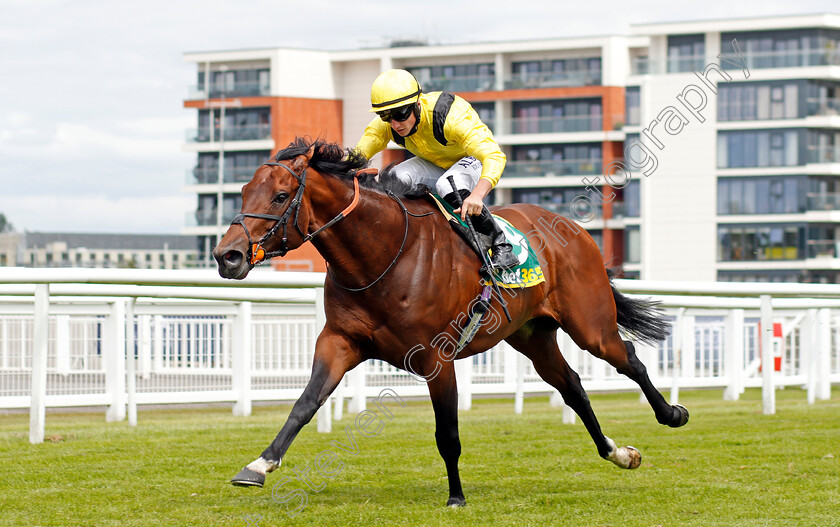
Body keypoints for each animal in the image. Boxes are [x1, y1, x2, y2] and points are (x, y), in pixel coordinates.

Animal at [212, 138, 688, 510]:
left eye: (279, 196)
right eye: (243, 192)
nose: (226, 256)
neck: (382, 255)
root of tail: (572, 227)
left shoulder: (436, 358)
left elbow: (448, 432)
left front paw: (456, 496)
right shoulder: (339, 341)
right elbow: (304, 404)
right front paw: (258, 465)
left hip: (590, 325)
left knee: (629, 359)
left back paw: (671, 414)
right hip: (532, 335)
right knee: (572, 386)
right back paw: (619, 453)